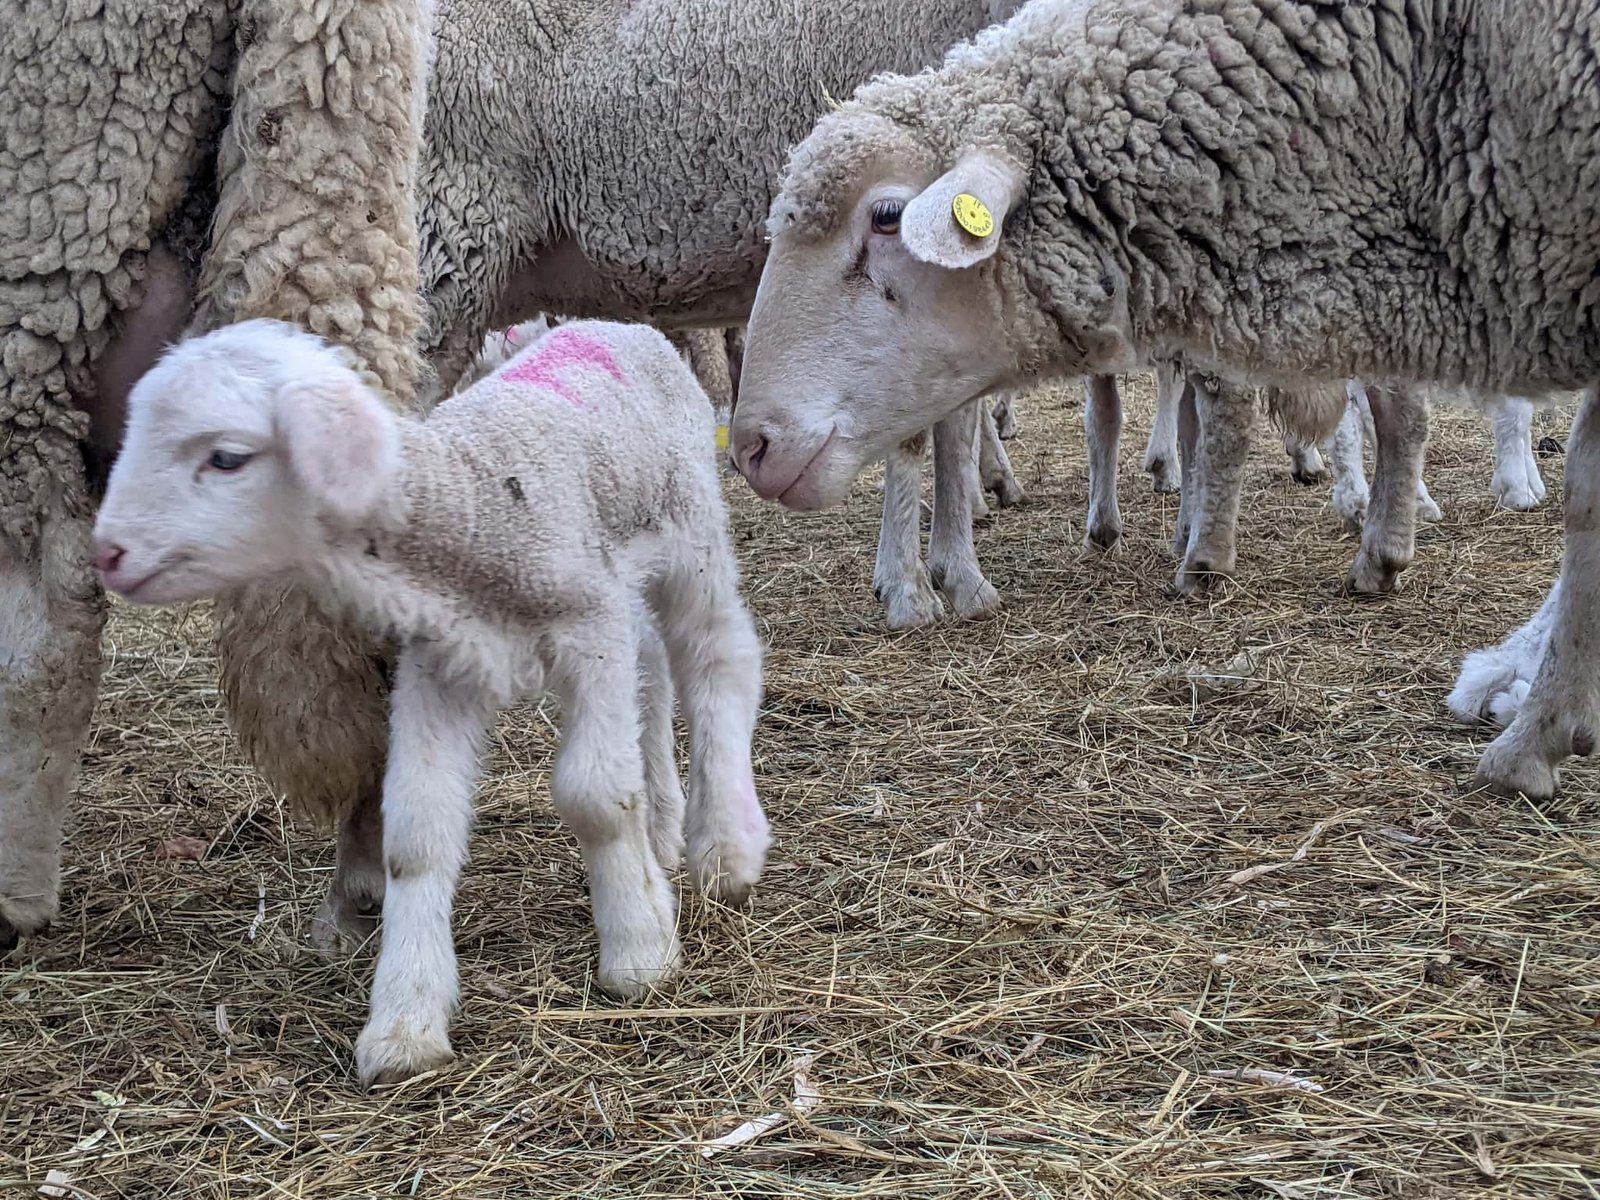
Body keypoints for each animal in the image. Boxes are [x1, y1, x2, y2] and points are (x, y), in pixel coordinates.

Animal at [92, 317, 768, 1086]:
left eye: (227, 458)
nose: (107, 553)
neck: (473, 502)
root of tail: (611, 324)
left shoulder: (587, 628)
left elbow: (595, 797)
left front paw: (639, 952)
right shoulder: (441, 661)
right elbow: (416, 835)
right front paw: (404, 1023)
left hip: (691, 531)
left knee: (717, 658)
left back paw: (726, 850)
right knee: (651, 668)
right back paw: (660, 828)